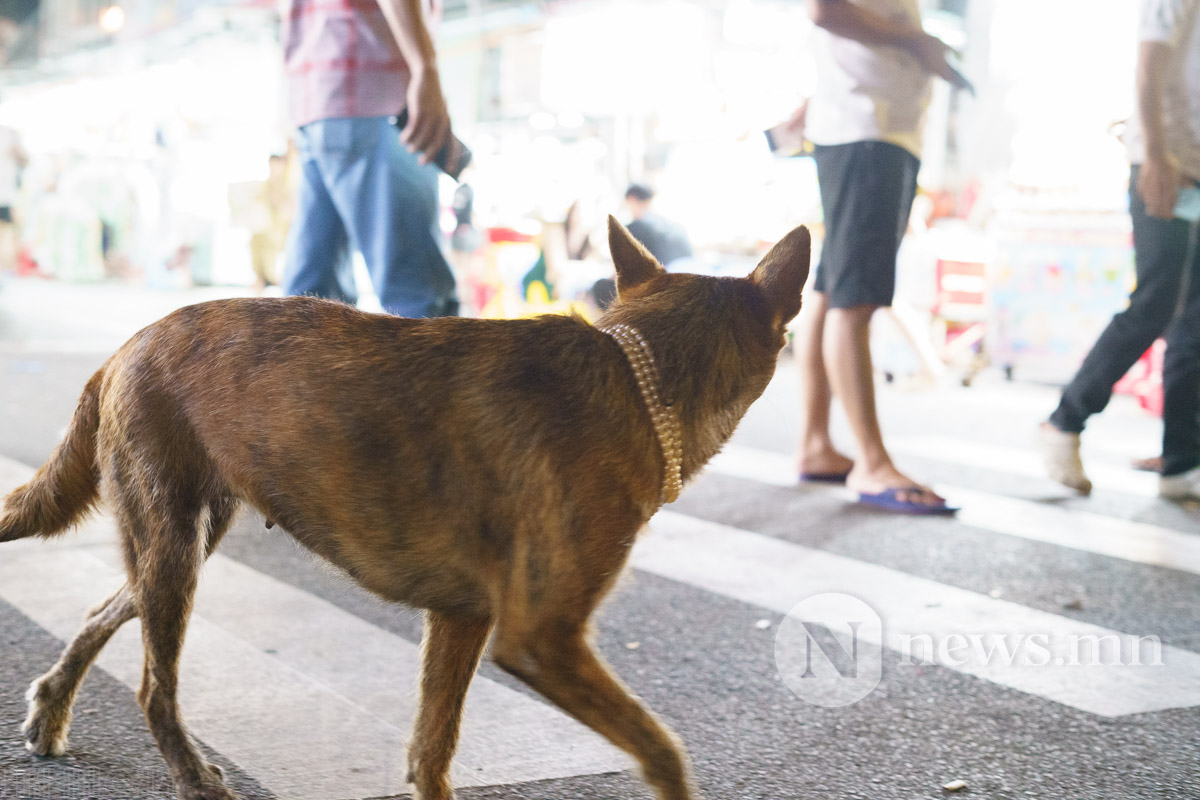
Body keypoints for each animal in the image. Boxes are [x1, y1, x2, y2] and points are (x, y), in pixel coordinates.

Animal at [0, 219, 811, 800]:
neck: (636, 378)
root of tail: (123, 347)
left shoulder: (462, 619)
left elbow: (431, 753)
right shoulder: (542, 638)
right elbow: (662, 748)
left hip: (182, 541)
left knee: (104, 611)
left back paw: (50, 708)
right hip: (174, 546)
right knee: (153, 687)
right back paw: (192, 777)